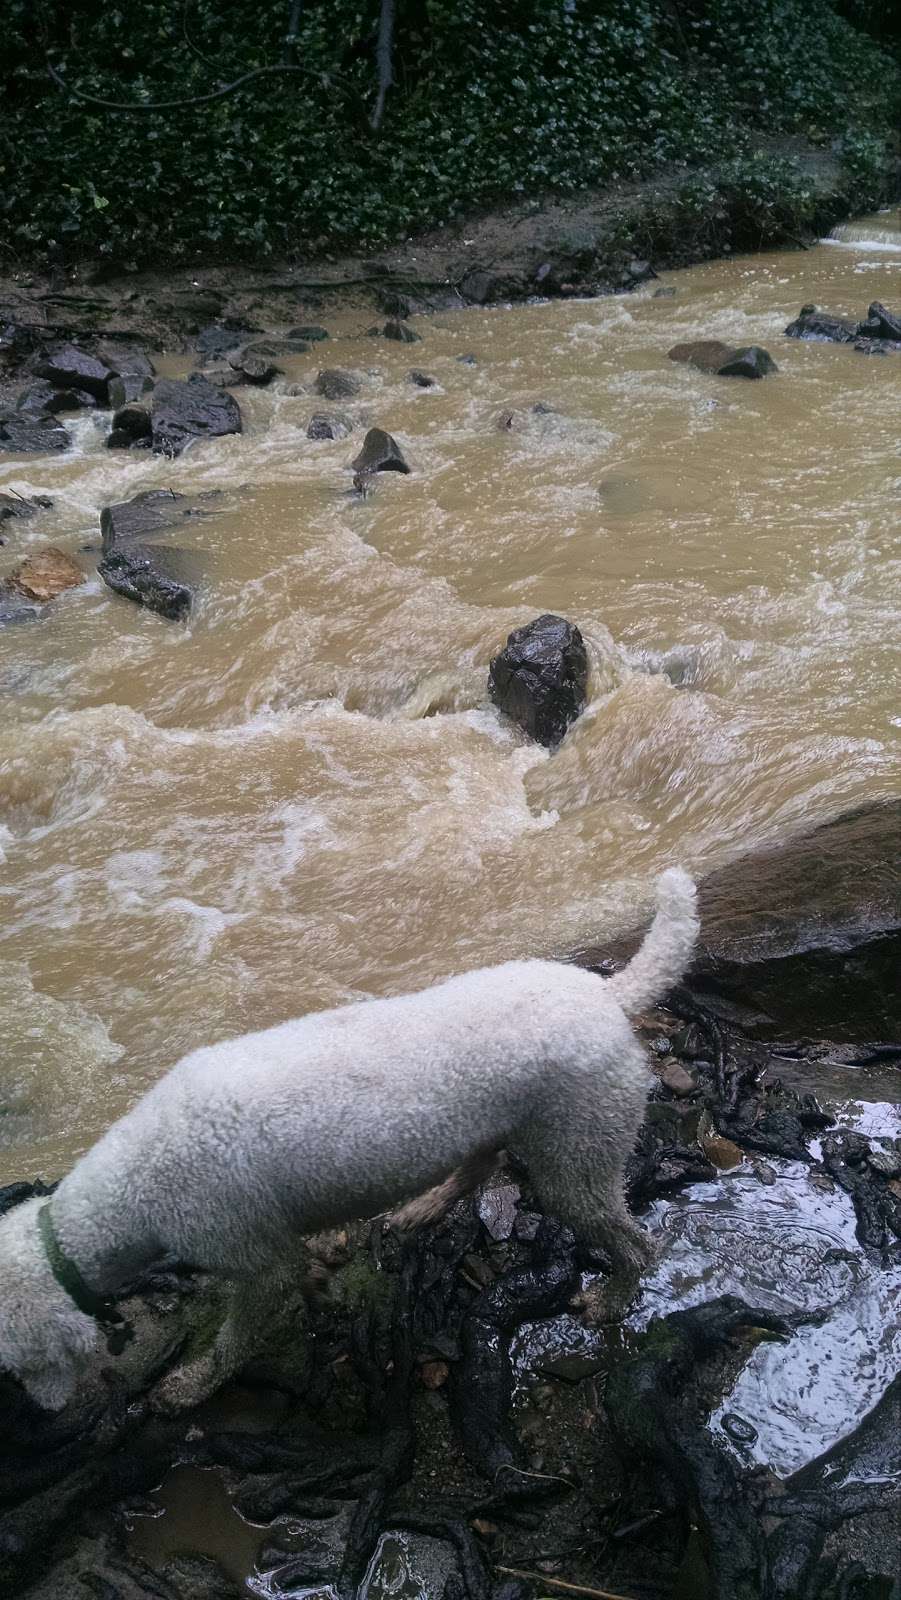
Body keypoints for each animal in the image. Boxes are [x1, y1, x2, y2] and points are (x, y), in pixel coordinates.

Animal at [0, 870, 697, 1408]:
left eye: (13, 1364)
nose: (45, 1414)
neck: (135, 1182)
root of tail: (609, 994)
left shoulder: (250, 1259)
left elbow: (236, 1334)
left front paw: (192, 1385)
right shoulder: (273, 1247)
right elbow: (303, 1276)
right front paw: (325, 1292)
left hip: (577, 1152)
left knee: (633, 1241)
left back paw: (614, 1299)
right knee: (480, 1163)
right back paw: (423, 1207)